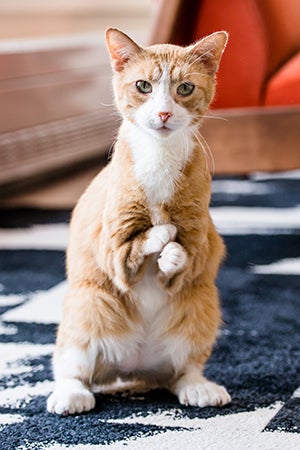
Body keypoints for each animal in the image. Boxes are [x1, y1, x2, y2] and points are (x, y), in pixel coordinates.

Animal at [47, 27, 231, 414]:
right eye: (143, 86)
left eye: (185, 88)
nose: (163, 113)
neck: (159, 159)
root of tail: (132, 368)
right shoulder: (112, 243)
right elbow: (133, 249)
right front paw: (160, 234)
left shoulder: (197, 236)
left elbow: (181, 261)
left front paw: (173, 254)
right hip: (87, 306)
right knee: (72, 368)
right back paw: (71, 395)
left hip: (200, 306)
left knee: (180, 372)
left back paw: (198, 387)